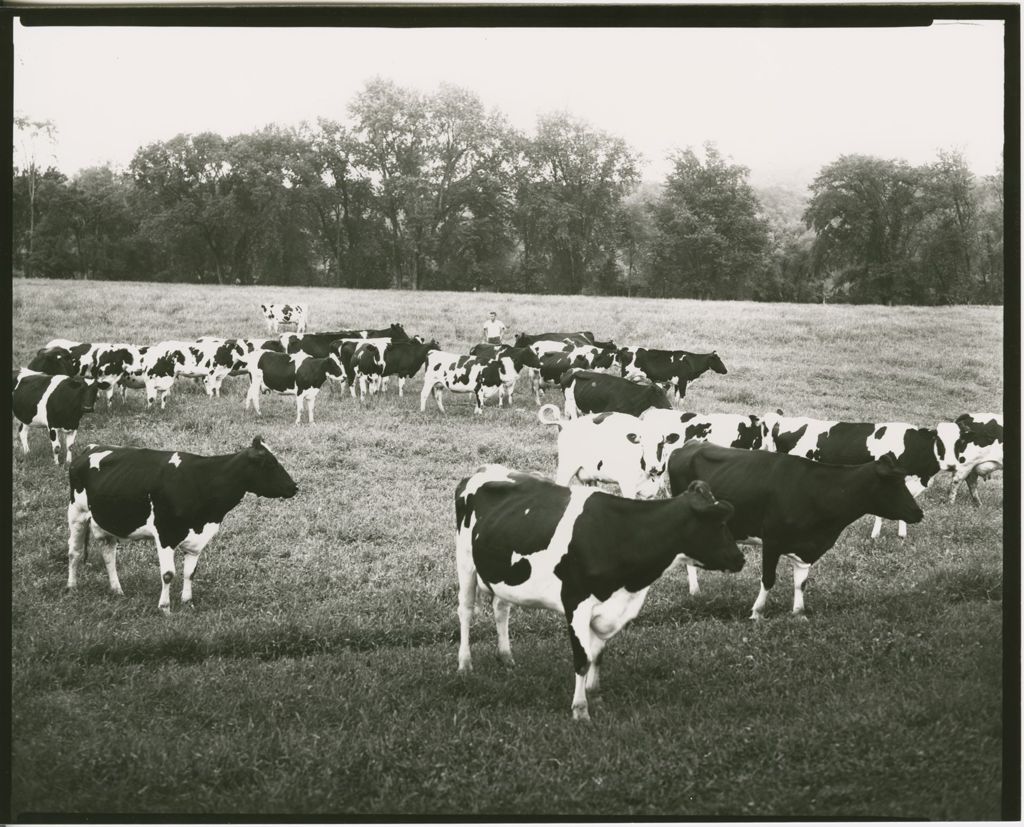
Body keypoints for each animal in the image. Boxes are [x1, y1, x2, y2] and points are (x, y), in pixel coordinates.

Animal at [66, 436, 299, 610]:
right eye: (270, 463)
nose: (294, 487)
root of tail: (90, 447)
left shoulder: (197, 537)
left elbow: (190, 572)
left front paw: (188, 602)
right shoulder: (165, 534)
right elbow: (168, 574)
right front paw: (165, 607)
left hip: (108, 521)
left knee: (108, 555)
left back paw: (117, 590)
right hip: (76, 513)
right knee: (74, 552)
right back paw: (72, 587)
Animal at [456, 464, 745, 716]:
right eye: (720, 524)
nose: (740, 559)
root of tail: (482, 470)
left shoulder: (611, 608)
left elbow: (597, 655)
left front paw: (595, 696)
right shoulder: (576, 604)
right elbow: (582, 659)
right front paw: (580, 710)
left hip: (503, 574)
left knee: (501, 607)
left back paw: (506, 657)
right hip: (466, 562)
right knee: (466, 611)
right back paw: (464, 664)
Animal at [536, 405, 679, 497]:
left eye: (661, 444)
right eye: (641, 445)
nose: (653, 467)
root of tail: (566, 424)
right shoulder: (627, 486)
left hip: (589, 478)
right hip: (566, 469)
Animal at [667, 442, 925, 618]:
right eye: (893, 485)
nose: (919, 513)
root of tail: (688, 445)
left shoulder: (807, 548)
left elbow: (801, 583)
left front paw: (799, 614)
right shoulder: (772, 541)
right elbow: (768, 579)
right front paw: (757, 613)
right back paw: (695, 590)